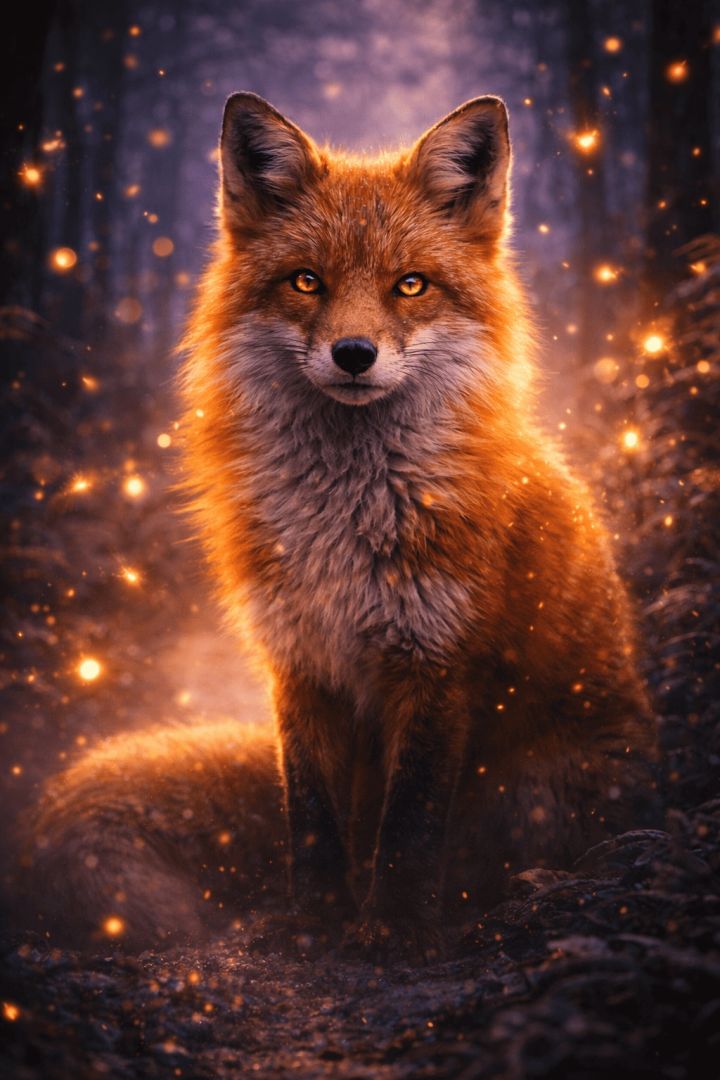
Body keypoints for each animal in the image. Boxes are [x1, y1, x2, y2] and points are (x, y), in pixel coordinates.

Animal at [20, 93, 658, 960]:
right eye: (307, 281)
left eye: (411, 285)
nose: (354, 353)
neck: (345, 525)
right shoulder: (299, 662)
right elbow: (314, 818)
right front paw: (314, 924)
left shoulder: (437, 667)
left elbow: (409, 825)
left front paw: (392, 932)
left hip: (535, 787)